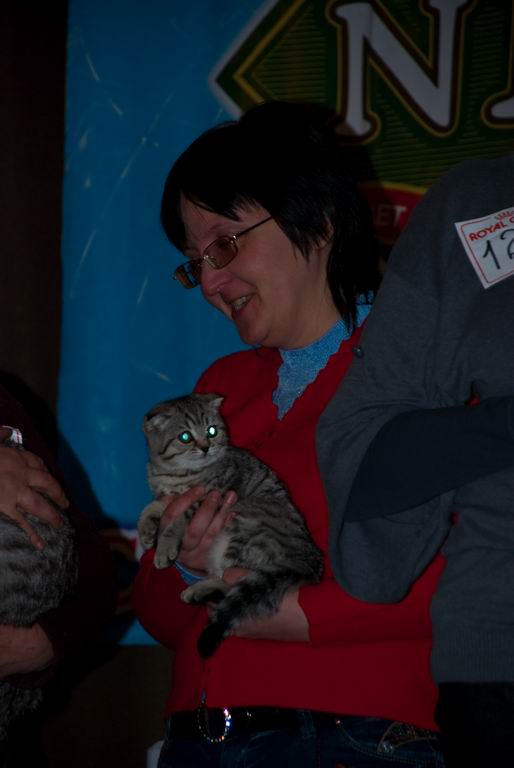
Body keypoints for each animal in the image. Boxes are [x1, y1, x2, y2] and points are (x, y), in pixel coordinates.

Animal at [138, 392, 324, 659]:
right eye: (185, 437)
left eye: (212, 430)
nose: (206, 447)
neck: (176, 474)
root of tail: (310, 559)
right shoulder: (168, 497)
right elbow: (152, 508)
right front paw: (147, 530)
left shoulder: (211, 496)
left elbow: (179, 521)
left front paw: (164, 546)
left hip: (245, 524)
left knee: (233, 581)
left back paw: (200, 590)